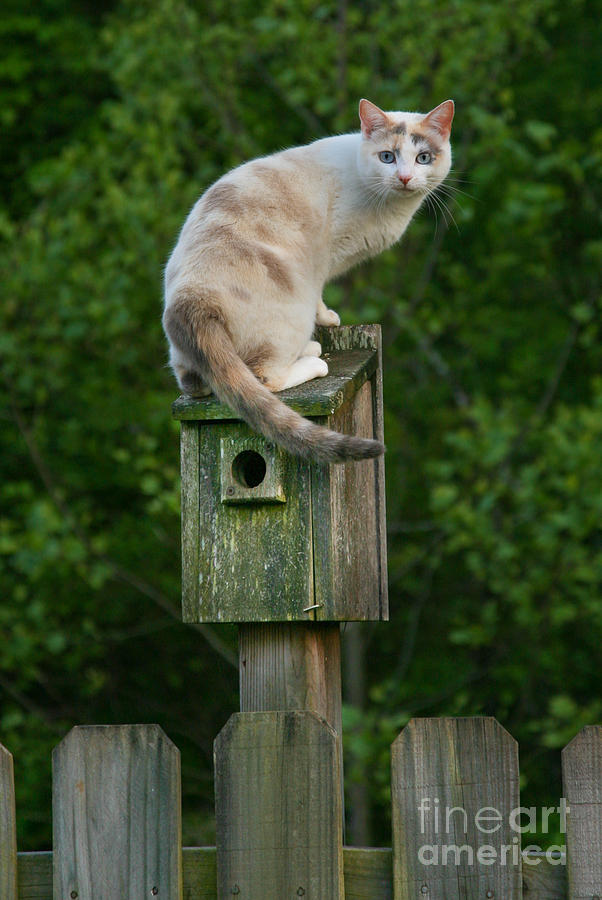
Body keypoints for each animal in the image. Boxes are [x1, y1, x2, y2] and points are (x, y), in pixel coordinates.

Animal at [162, 98, 452, 464]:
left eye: (423, 158)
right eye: (387, 157)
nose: (404, 177)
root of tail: (192, 302)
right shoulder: (322, 263)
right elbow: (321, 300)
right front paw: (329, 319)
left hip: (185, 358)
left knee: (195, 385)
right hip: (289, 320)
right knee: (265, 379)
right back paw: (313, 357)